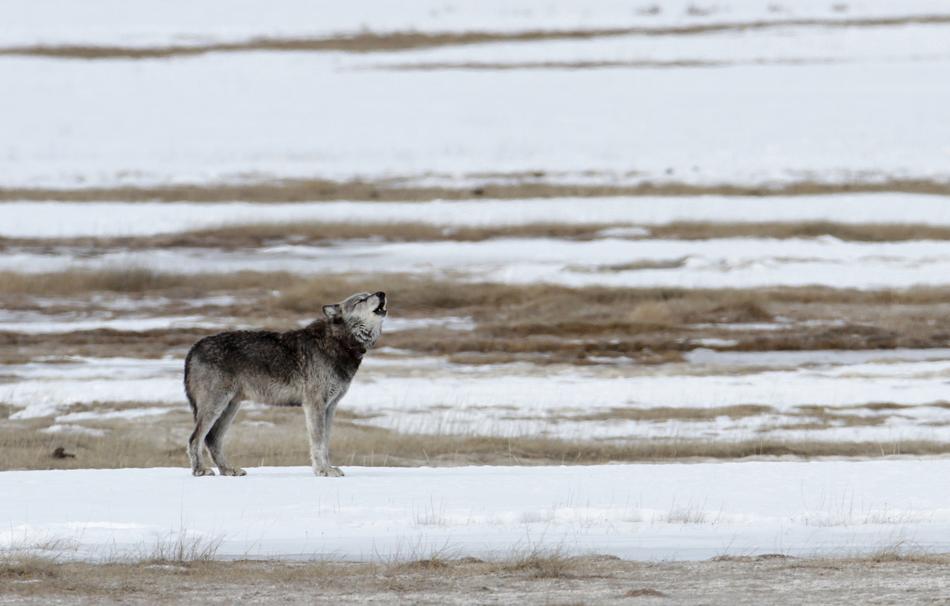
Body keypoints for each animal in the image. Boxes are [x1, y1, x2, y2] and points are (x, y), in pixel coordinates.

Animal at [184, 292, 384, 478]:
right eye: (361, 300)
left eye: (370, 294)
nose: (382, 294)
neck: (339, 341)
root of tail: (194, 347)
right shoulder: (314, 405)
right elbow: (318, 442)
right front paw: (323, 471)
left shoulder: (330, 407)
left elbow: (326, 442)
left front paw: (328, 468)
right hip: (215, 406)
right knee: (195, 439)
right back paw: (200, 470)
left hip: (230, 408)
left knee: (212, 439)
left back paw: (228, 470)